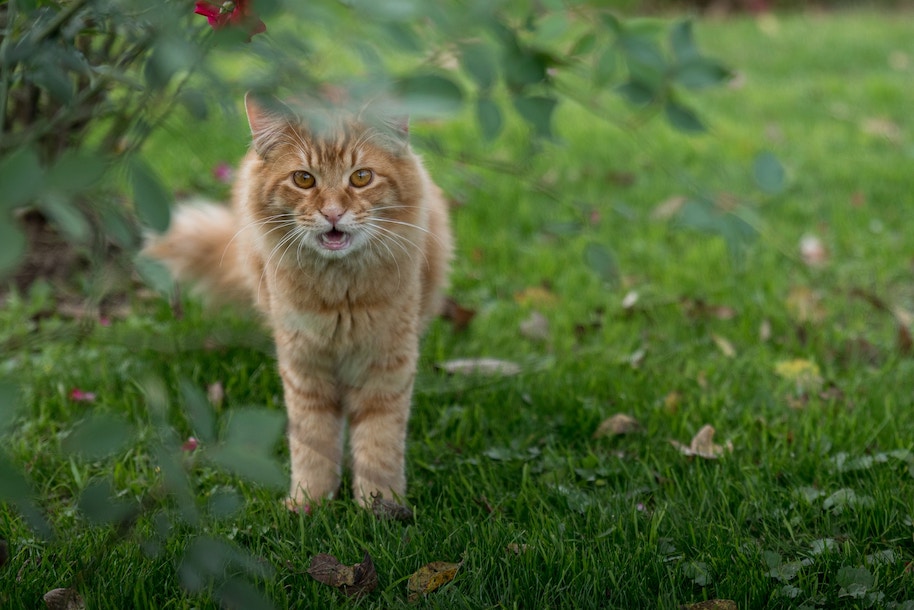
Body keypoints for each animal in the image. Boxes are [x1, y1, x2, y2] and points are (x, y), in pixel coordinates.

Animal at [143, 94, 452, 508]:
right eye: (304, 179)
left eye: (361, 177)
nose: (333, 213)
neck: (340, 297)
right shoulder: (304, 365)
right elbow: (312, 442)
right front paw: (310, 502)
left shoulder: (386, 364)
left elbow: (379, 443)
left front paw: (380, 505)